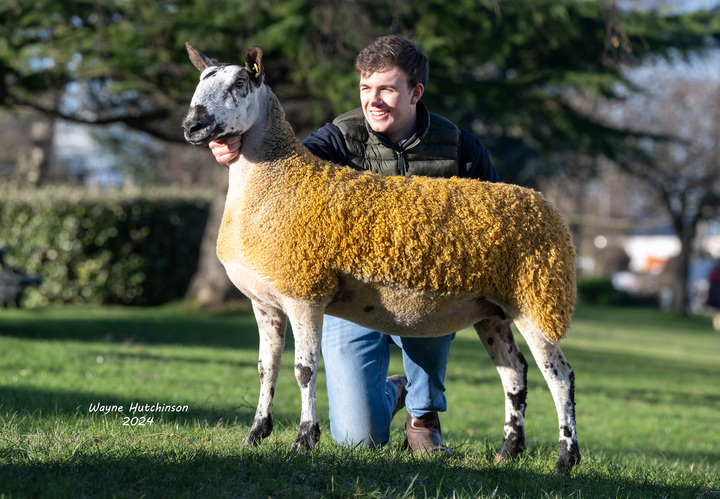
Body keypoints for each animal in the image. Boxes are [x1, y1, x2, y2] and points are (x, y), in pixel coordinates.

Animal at [183, 42, 584, 472]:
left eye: (240, 83)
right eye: (200, 81)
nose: (192, 126)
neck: (273, 184)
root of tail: (548, 208)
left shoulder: (304, 293)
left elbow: (304, 370)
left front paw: (304, 441)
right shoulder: (265, 301)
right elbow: (266, 368)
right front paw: (255, 434)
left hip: (538, 298)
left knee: (560, 376)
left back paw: (565, 458)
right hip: (492, 309)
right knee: (515, 373)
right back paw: (508, 450)